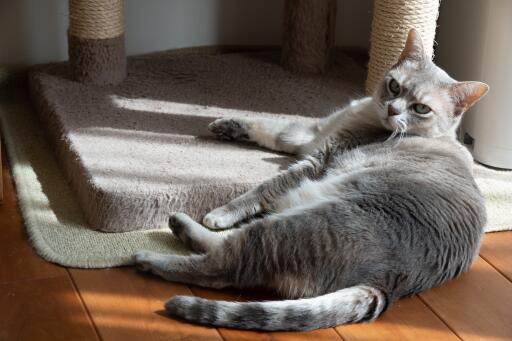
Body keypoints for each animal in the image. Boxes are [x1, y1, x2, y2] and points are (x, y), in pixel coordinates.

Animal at [134, 29, 490, 330]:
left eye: (420, 108)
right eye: (394, 86)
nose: (392, 110)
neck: (365, 116)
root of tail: (390, 282)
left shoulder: (317, 158)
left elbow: (264, 188)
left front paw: (222, 212)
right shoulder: (311, 133)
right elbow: (270, 128)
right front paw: (226, 125)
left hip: (295, 225)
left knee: (222, 266)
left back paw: (150, 255)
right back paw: (179, 225)